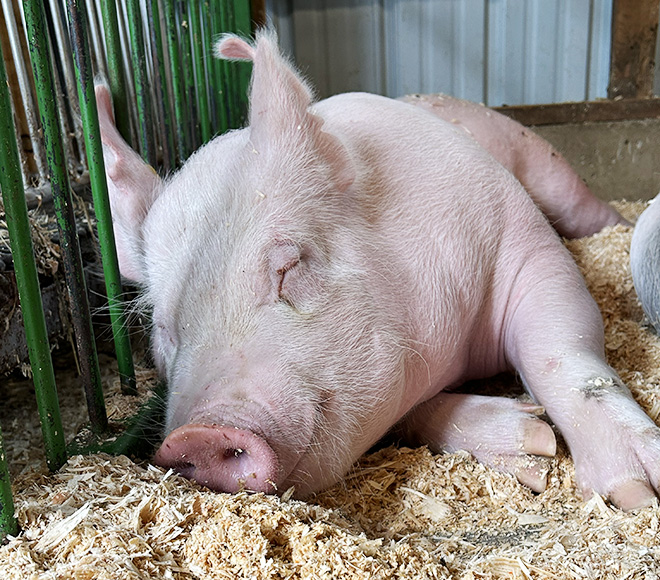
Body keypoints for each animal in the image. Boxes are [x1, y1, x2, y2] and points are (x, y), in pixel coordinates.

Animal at [95, 30, 660, 512]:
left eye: (288, 266)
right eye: (164, 328)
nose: (200, 436)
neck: (455, 354)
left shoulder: (523, 245)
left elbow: (563, 351)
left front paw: (637, 495)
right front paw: (532, 445)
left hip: (544, 165)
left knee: (589, 212)